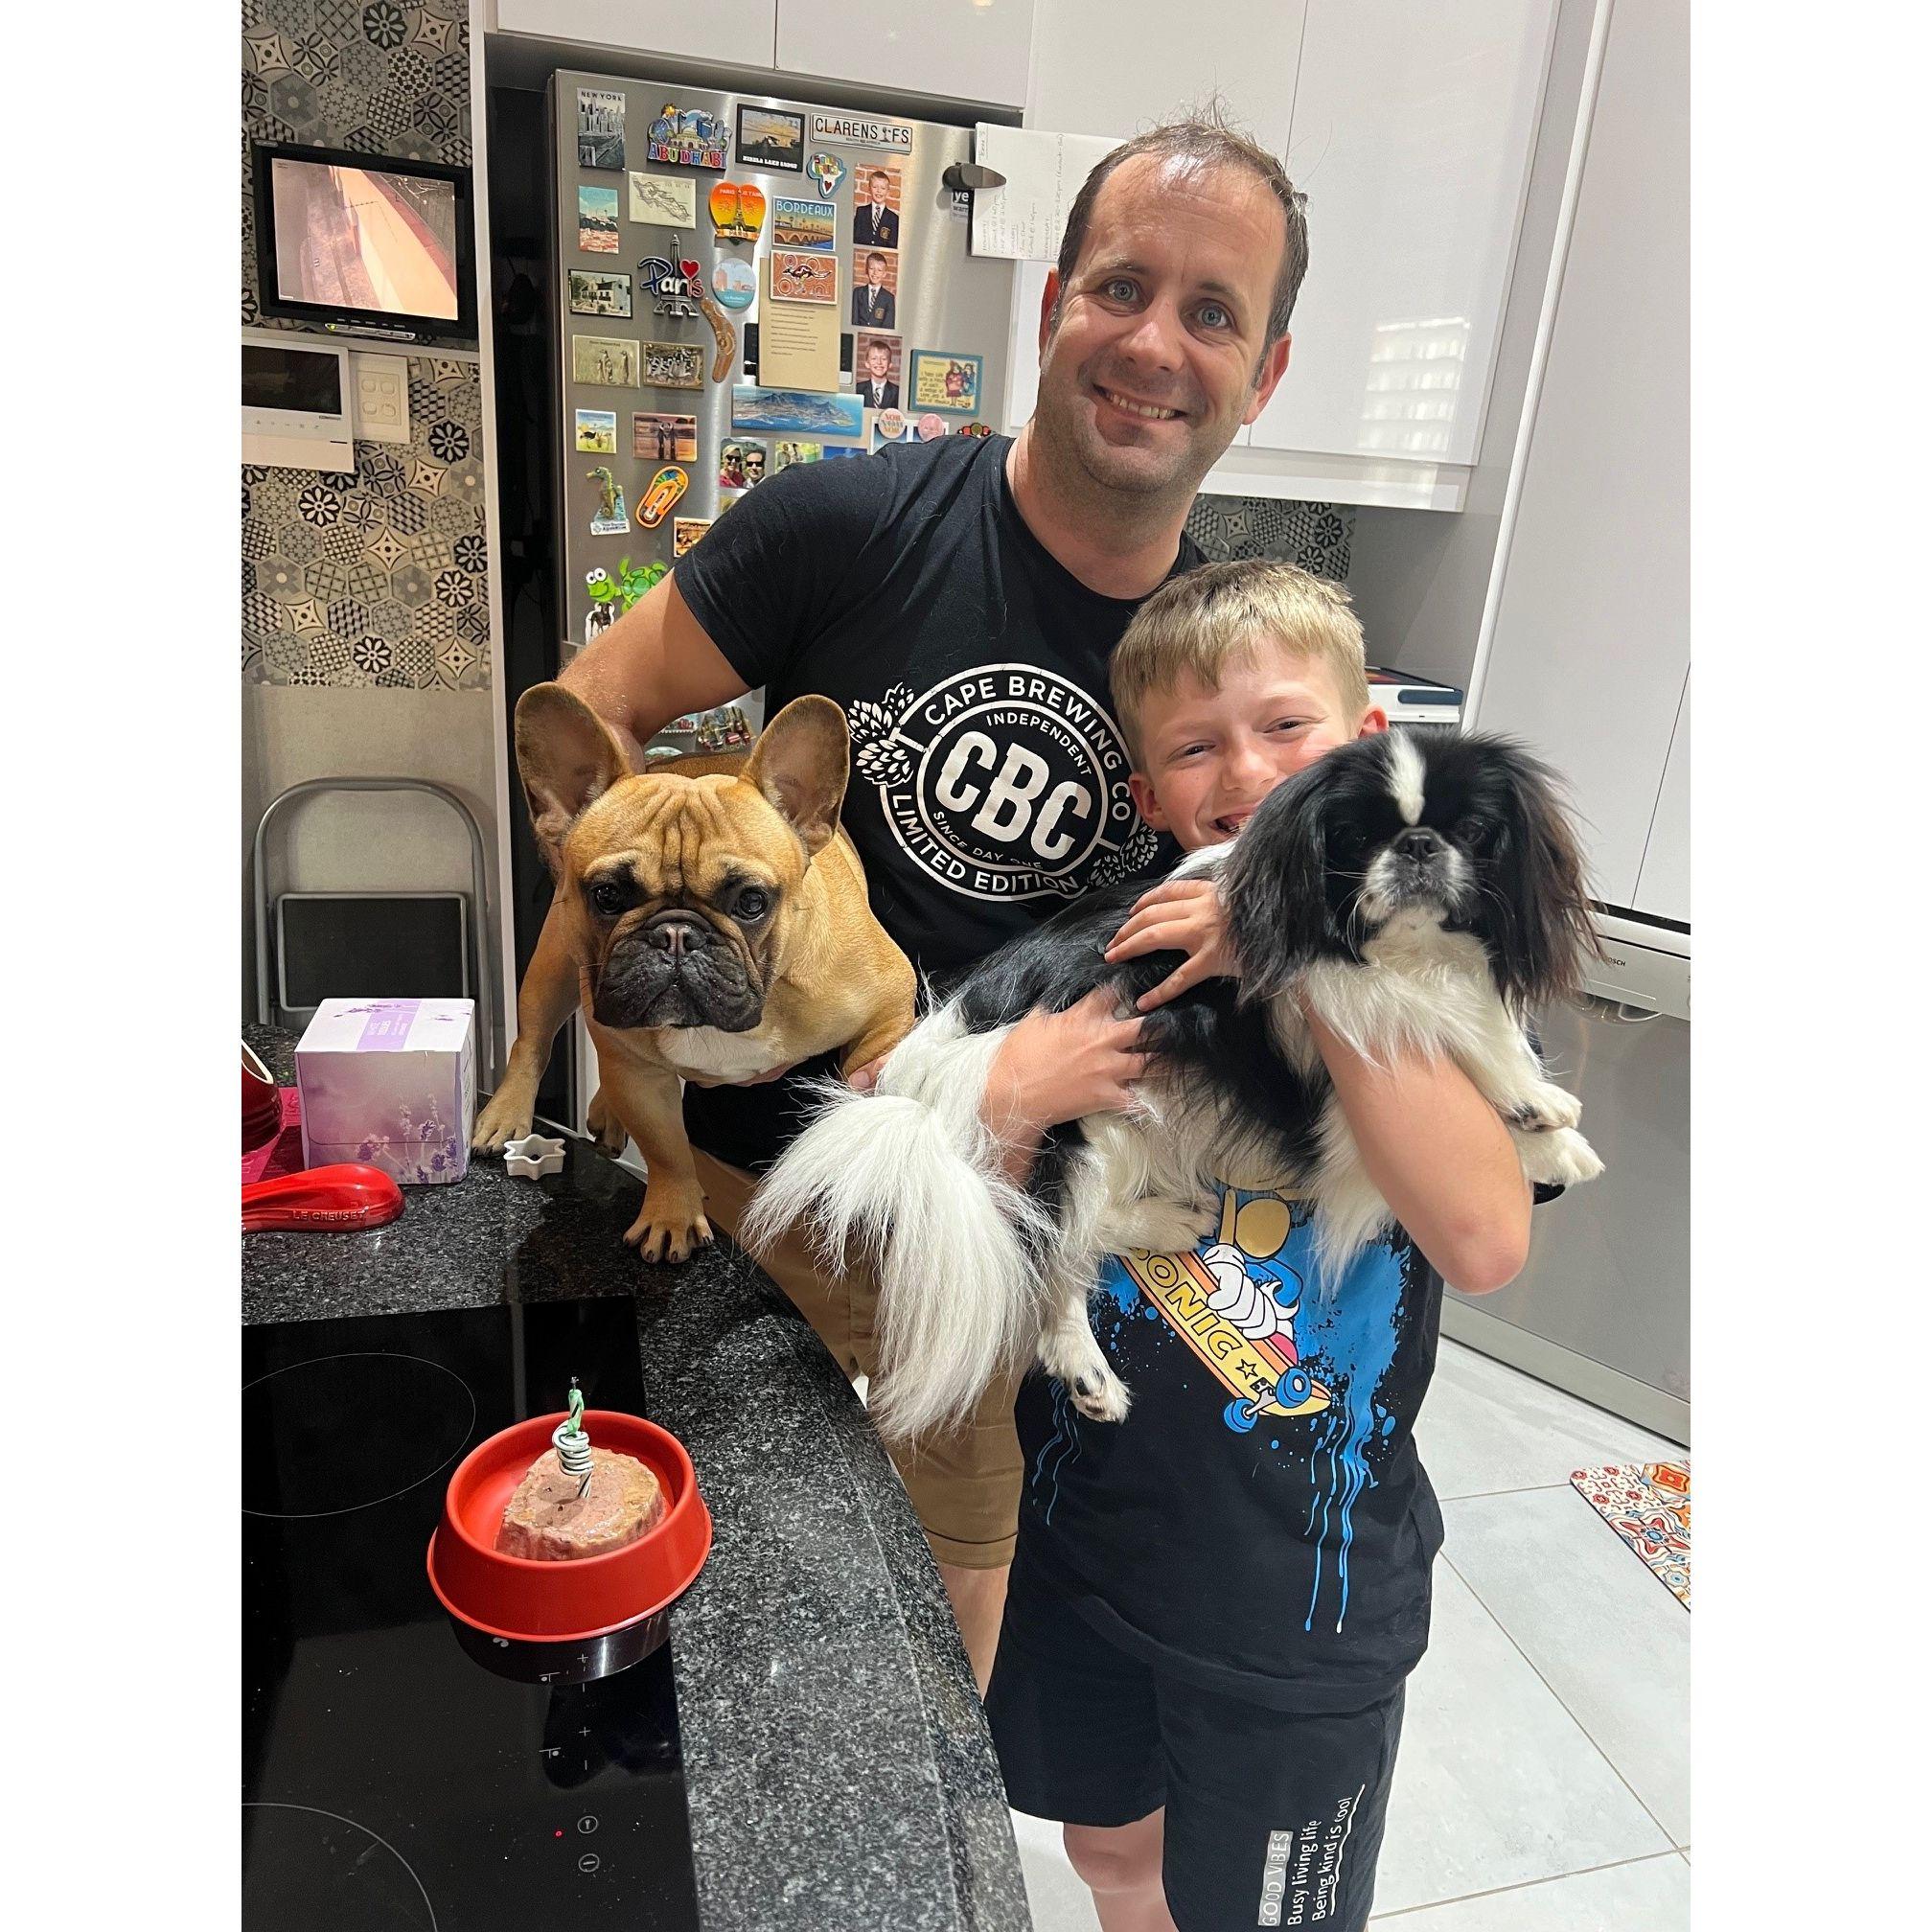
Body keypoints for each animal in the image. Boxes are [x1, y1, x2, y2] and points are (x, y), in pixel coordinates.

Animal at [474, 683, 916, 1262]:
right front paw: (672, 1216)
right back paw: (507, 1113)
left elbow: (860, 1094)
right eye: (607, 895)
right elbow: (665, 1149)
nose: (676, 935)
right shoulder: (636, 1074)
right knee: (532, 1042)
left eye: (752, 901)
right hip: (555, 967)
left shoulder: (888, 1007)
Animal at [742, 730, 1605, 1439]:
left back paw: (1173, 1227)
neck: (1399, 951)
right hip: (1094, 1124)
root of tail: (923, 1096)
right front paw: (1535, 1114)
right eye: (1357, 840)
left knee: (1082, 1229)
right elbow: (1439, 1026)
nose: (1421, 845)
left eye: (1472, 833)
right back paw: (1094, 1363)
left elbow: (1482, 1035)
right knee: (1060, 1253)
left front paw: (1550, 1131)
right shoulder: (1337, 1069)